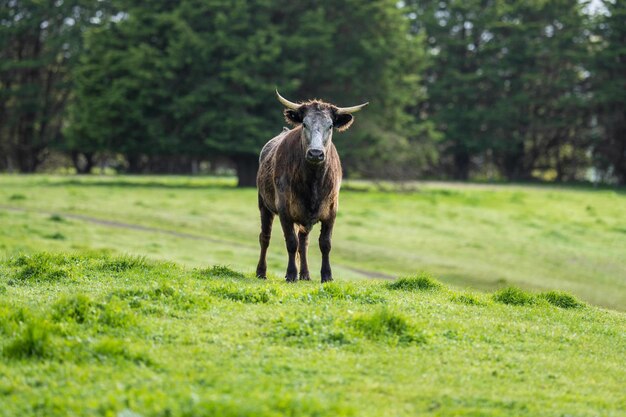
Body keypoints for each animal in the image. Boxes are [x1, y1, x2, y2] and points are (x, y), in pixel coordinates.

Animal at [256, 89, 368, 282]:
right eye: (304, 124)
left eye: (330, 126)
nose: (316, 153)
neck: (313, 182)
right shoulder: (284, 208)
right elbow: (290, 242)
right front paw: (290, 274)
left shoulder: (332, 210)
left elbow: (325, 243)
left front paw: (327, 276)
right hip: (264, 204)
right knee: (265, 237)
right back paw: (261, 272)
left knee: (304, 241)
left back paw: (306, 274)